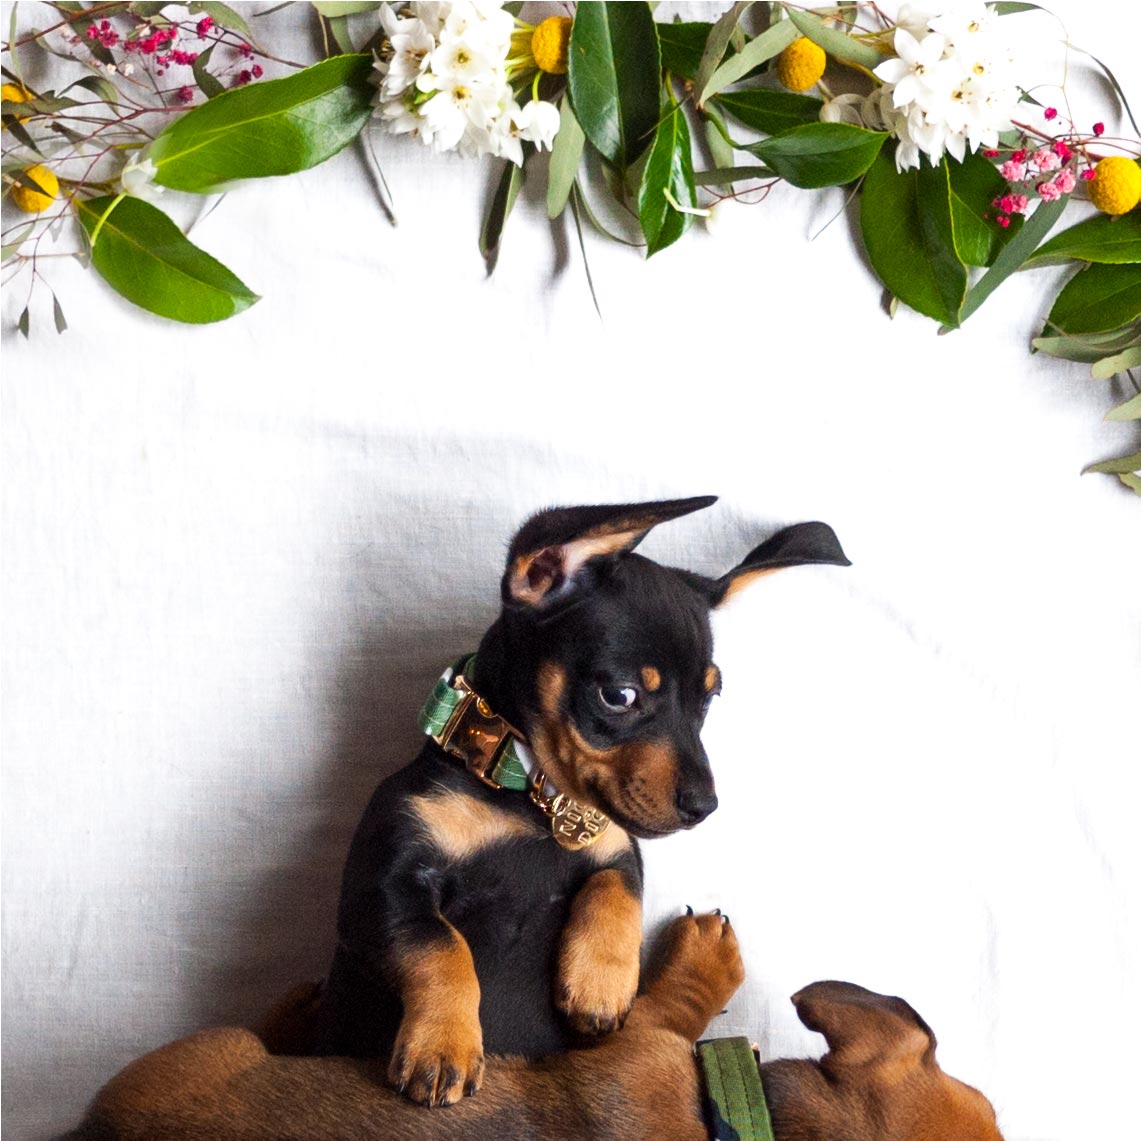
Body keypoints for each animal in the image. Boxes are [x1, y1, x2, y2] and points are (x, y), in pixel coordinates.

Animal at [312, 499, 848, 1104]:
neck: (528, 795)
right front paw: (443, 1044)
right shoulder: (381, 890)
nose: (704, 806)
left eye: (709, 698)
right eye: (619, 695)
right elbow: (440, 945)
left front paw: (599, 982)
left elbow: (617, 888)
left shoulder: (617, 847)